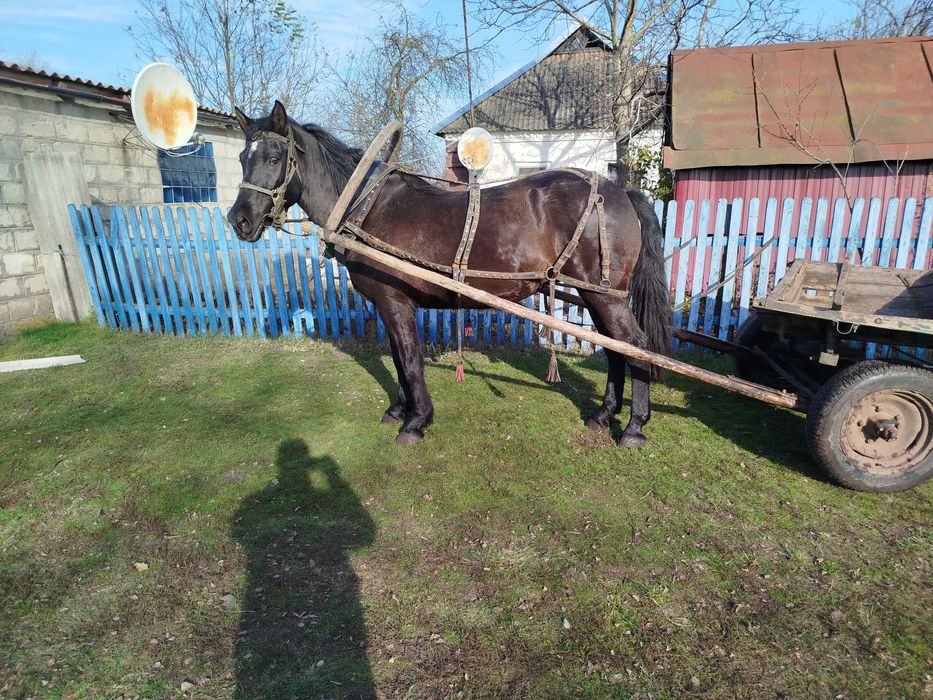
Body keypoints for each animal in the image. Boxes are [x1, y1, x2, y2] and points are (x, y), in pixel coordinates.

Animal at [228, 101, 671, 447]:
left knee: (635, 345)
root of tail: (620, 191)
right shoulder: (391, 305)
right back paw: (603, 415)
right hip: (597, 294)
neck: (365, 207)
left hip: (605, 295)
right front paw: (399, 409)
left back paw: (633, 427)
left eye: (273, 158)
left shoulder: (394, 302)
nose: (239, 220)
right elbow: (397, 357)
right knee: (615, 349)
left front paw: (416, 422)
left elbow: (409, 360)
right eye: (242, 158)